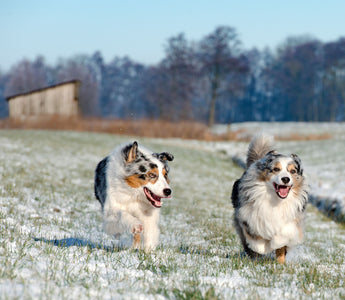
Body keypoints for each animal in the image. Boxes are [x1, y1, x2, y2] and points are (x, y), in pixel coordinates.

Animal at [231, 134, 306, 262]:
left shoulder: (292, 218)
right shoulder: (248, 215)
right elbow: (255, 238)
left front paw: (276, 243)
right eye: (276, 169)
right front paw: (261, 248)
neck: (276, 199)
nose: (286, 179)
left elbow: (284, 235)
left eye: (292, 171)